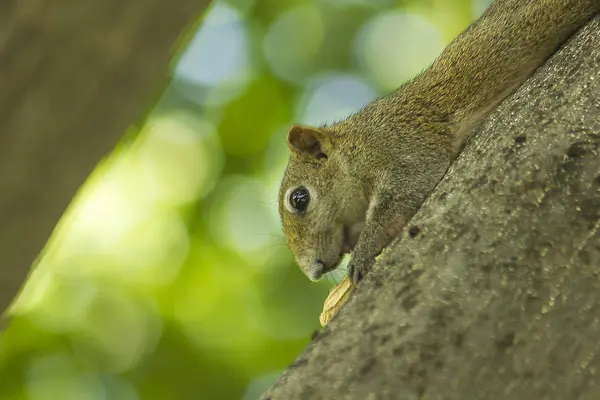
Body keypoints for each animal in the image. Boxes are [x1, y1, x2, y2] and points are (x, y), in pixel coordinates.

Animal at [278, 0, 600, 288]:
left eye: (299, 199)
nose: (314, 271)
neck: (355, 147)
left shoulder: (401, 146)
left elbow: (400, 197)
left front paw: (363, 253)